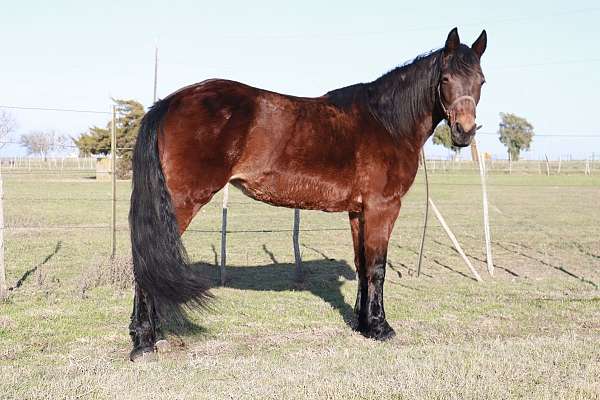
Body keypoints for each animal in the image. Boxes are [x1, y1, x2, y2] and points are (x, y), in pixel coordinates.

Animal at [129, 28, 486, 360]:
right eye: (445, 78)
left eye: (481, 80)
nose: (464, 132)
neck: (386, 123)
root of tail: (169, 103)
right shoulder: (382, 207)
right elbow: (377, 267)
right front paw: (381, 328)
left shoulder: (358, 211)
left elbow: (362, 264)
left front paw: (363, 324)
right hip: (181, 203)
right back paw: (144, 344)